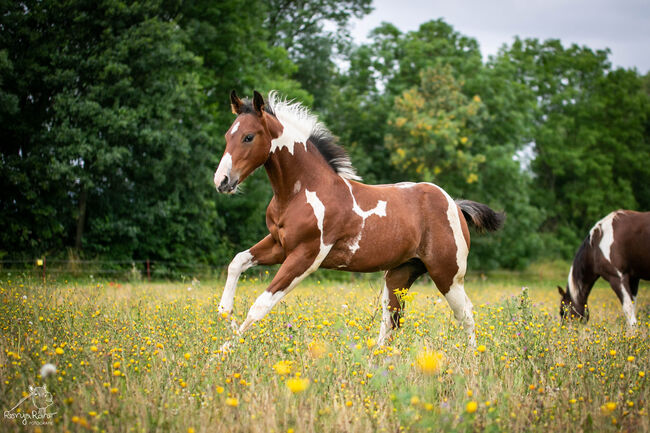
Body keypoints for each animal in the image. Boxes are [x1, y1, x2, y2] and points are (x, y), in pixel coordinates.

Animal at [215, 89, 504, 346]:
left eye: (249, 137)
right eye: (228, 135)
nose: (222, 181)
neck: (304, 191)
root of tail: (454, 204)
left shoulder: (305, 256)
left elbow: (260, 305)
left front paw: (223, 352)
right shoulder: (279, 245)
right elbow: (237, 262)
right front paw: (226, 318)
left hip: (447, 274)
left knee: (465, 314)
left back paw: (471, 361)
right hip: (399, 274)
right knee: (392, 320)